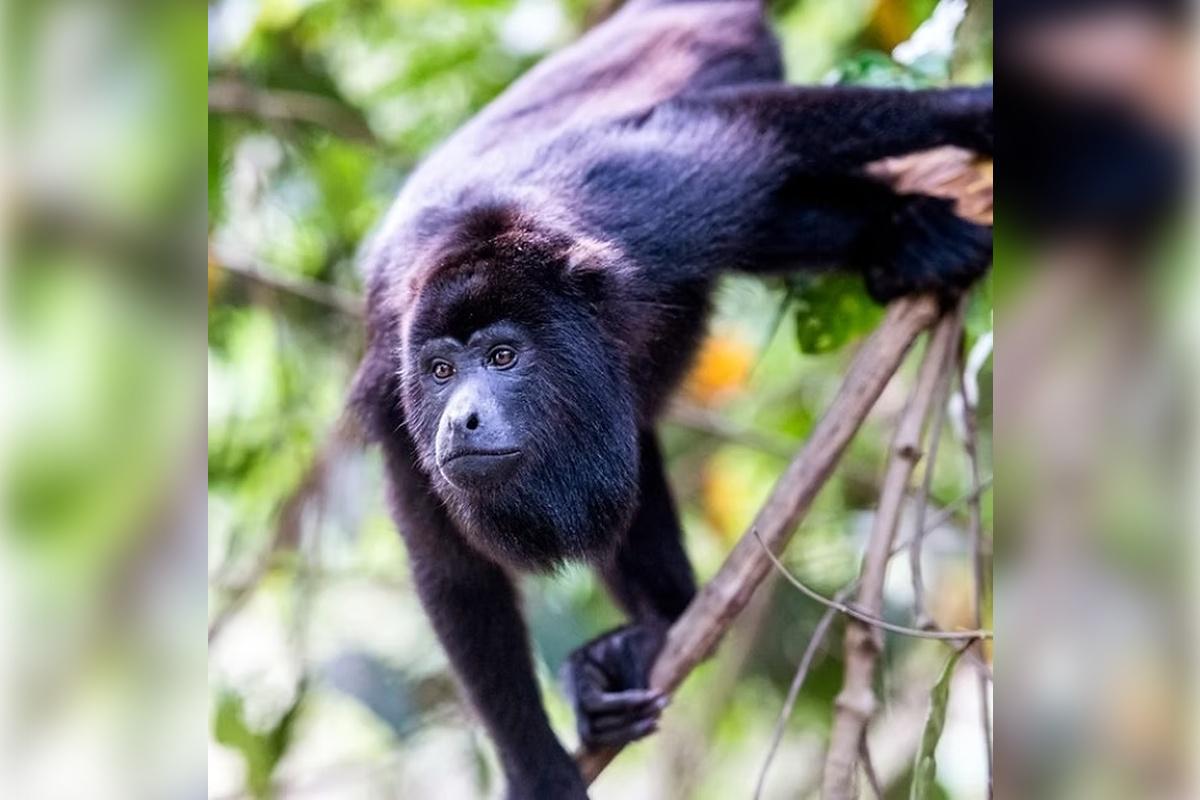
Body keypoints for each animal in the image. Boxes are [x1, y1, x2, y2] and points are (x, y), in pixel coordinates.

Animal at [350, 1, 992, 797]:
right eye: (440, 371)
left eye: (502, 357)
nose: (461, 418)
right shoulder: (392, 389)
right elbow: (455, 575)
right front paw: (537, 768)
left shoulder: (653, 204)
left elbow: (749, 132)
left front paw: (976, 111)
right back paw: (645, 640)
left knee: (777, 205)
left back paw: (907, 233)